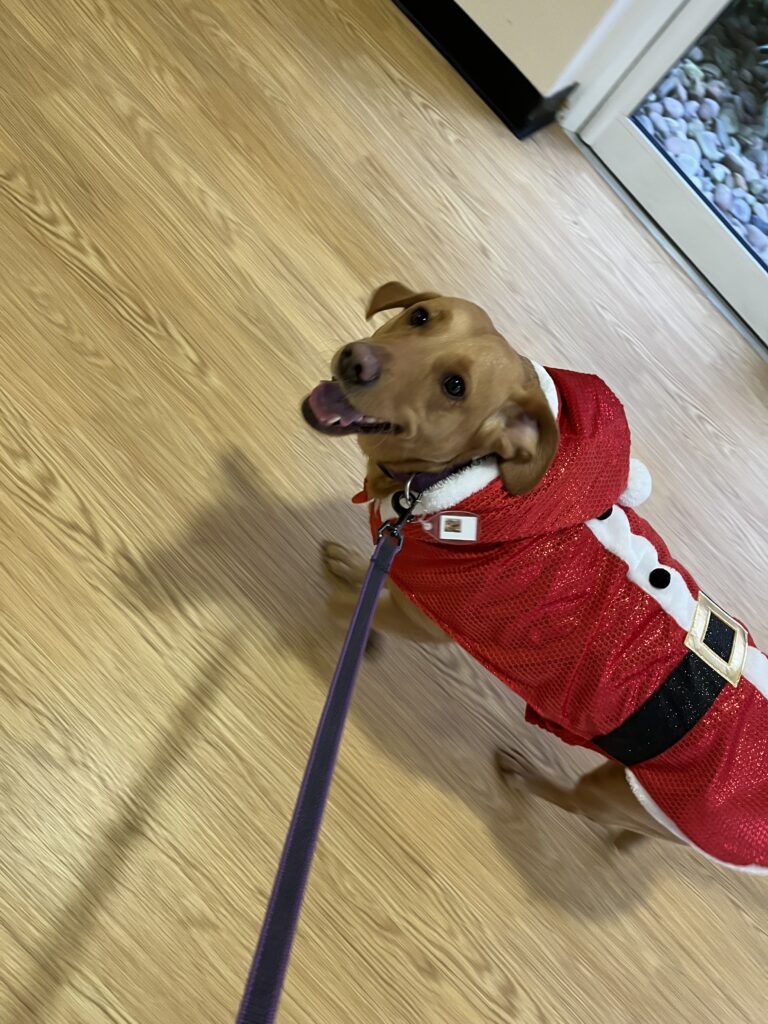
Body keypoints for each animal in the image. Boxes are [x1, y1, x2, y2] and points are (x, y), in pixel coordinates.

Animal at [303, 282, 768, 872]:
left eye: (455, 387)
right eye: (420, 316)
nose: (355, 361)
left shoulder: (427, 624)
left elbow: (352, 610)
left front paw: (346, 631)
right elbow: (375, 586)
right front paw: (351, 576)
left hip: (618, 793)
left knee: (573, 802)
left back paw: (526, 775)